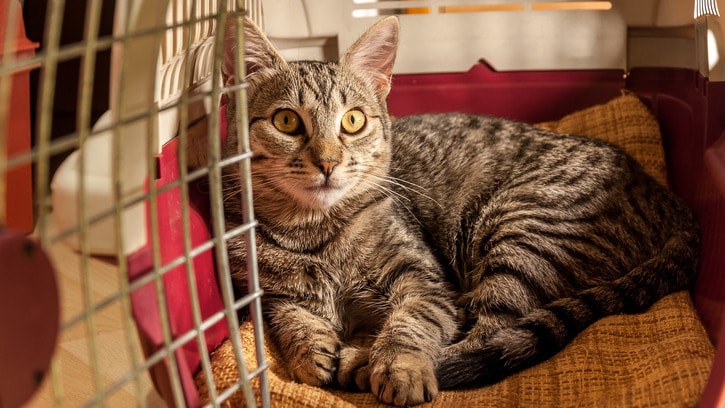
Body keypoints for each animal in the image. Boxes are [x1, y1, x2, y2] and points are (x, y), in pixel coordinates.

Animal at [219, 14, 696, 406]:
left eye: (353, 121)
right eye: (286, 121)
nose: (328, 162)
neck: (314, 233)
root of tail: (666, 197)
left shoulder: (425, 279)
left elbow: (412, 323)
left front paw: (397, 365)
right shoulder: (267, 294)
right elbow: (289, 317)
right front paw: (309, 349)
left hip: (524, 234)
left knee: (485, 334)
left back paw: (362, 360)